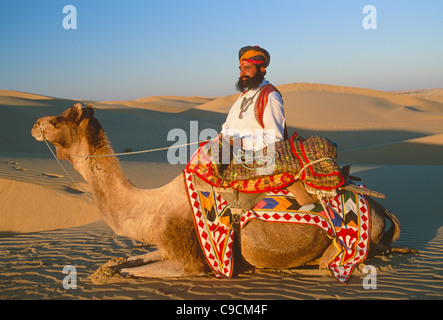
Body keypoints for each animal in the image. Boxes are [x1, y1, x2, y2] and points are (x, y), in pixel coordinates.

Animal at [32, 104, 410, 278]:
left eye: (60, 120)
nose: (35, 124)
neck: (149, 208)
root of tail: (378, 210)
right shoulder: (165, 245)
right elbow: (130, 260)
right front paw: (112, 265)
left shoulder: (189, 262)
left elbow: (130, 271)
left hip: (343, 247)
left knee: (332, 265)